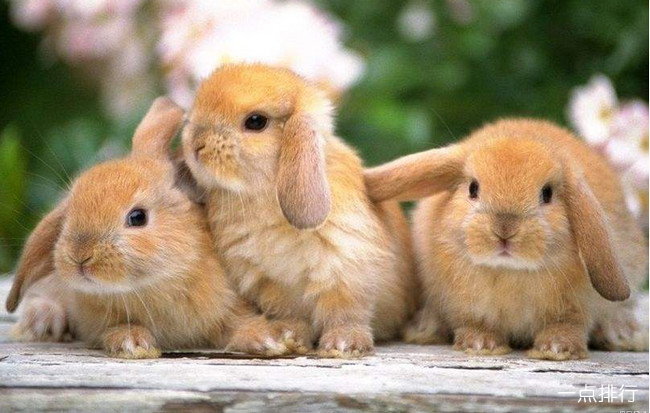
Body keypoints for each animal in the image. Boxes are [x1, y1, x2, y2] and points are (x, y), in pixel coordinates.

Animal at [6, 97, 301, 358]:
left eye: (137, 217)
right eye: (68, 215)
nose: (80, 256)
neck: (155, 285)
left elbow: (238, 326)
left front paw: (270, 339)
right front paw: (132, 343)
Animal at [180, 63, 418, 357]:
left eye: (256, 121)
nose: (195, 145)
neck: (265, 197)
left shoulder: (347, 271)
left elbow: (346, 312)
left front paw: (344, 344)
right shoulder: (269, 284)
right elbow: (291, 314)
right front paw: (288, 337)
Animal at [364, 118, 648, 360]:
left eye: (546, 194)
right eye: (473, 188)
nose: (504, 229)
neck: (509, 272)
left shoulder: (576, 309)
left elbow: (568, 326)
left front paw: (556, 349)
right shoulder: (465, 306)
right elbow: (474, 323)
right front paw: (481, 344)